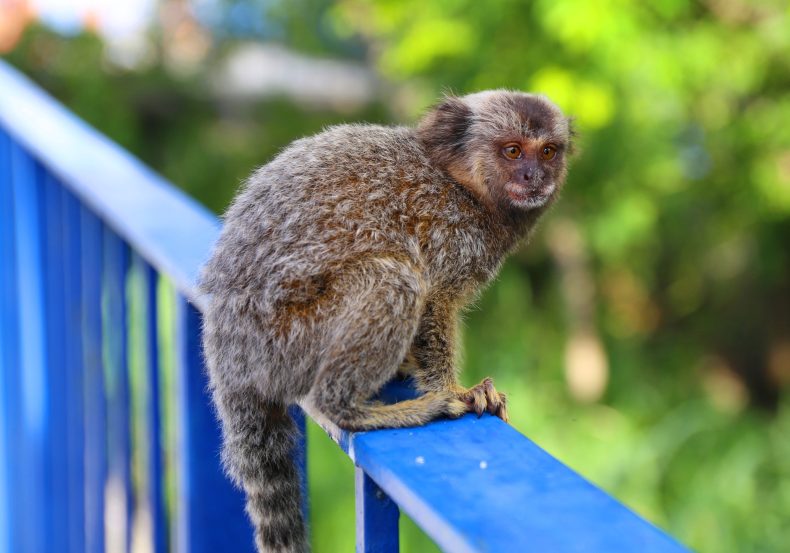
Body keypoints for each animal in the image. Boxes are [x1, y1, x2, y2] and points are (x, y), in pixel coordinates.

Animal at [201, 91, 576, 552]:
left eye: (548, 151)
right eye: (512, 151)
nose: (533, 175)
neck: (461, 187)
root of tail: (230, 355)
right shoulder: (447, 231)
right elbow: (433, 301)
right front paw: (455, 389)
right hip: (289, 338)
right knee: (394, 281)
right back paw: (360, 410)